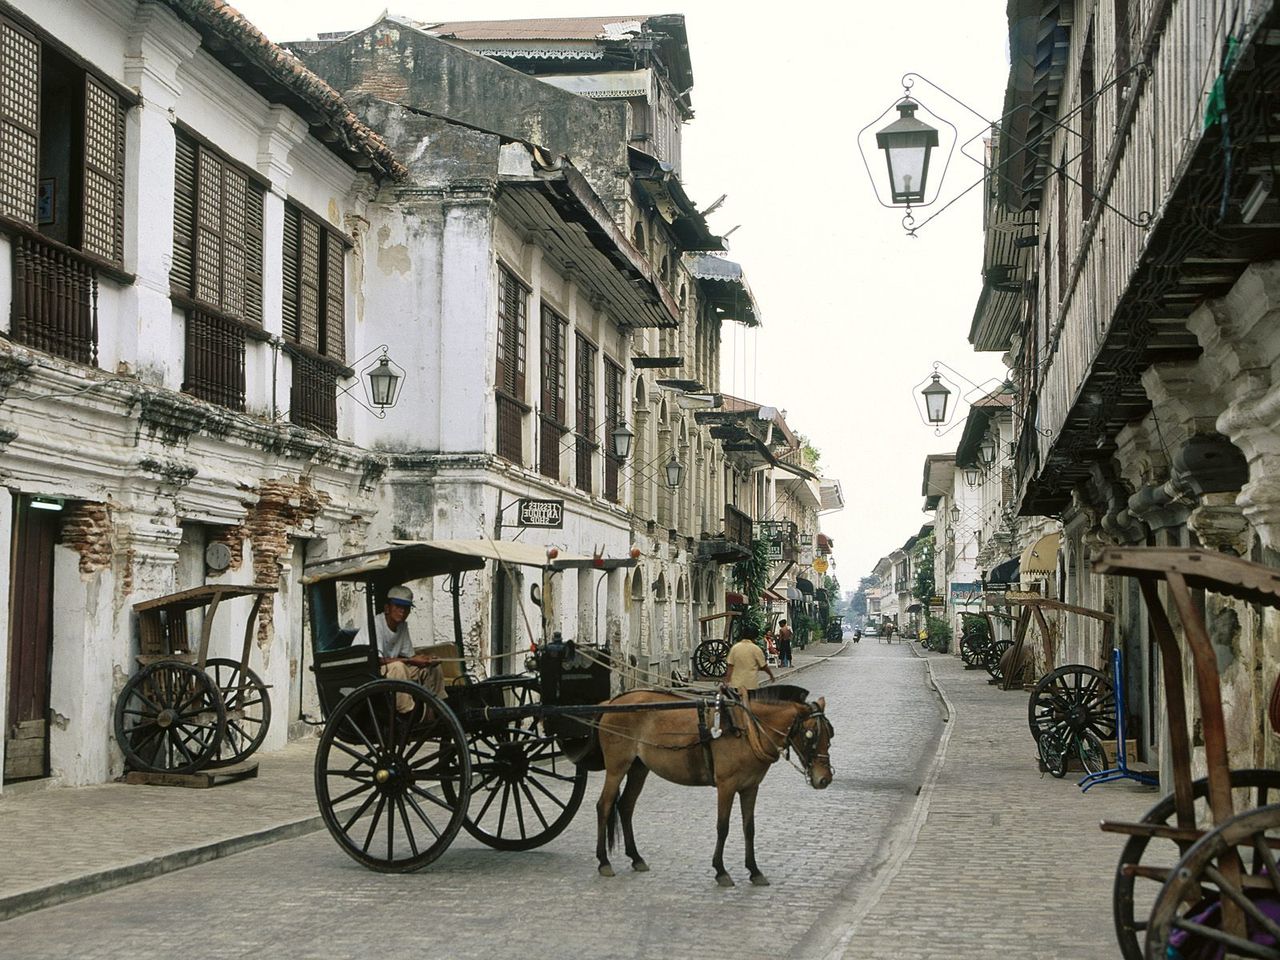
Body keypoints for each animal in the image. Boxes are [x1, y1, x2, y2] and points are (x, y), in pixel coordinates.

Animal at [591, 686, 834, 885]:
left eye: (830, 734)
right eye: (810, 734)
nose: (824, 779)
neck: (746, 729)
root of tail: (612, 702)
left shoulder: (750, 787)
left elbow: (749, 828)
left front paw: (754, 870)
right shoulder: (726, 786)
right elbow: (722, 827)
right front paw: (721, 870)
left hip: (639, 768)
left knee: (626, 806)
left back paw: (636, 857)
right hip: (617, 767)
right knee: (604, 805)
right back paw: (603, 861)